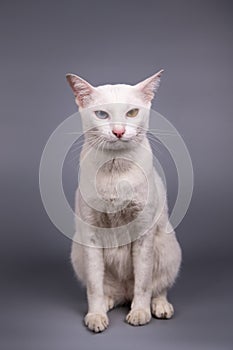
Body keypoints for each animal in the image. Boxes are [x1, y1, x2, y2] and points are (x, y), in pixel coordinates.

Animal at [65, 69, 182, 332]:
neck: (115, 168)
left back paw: (159, 307)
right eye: (101, 114)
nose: (118, 131)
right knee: (108, 290)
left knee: (157, 287)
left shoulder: (143, 233)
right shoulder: (91, 235)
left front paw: (139, 313)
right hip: (78, 250)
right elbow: (95, 286)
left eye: (132, 113)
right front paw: (96, 316)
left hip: (167, 246)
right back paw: (107, 303)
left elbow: (143, 283)